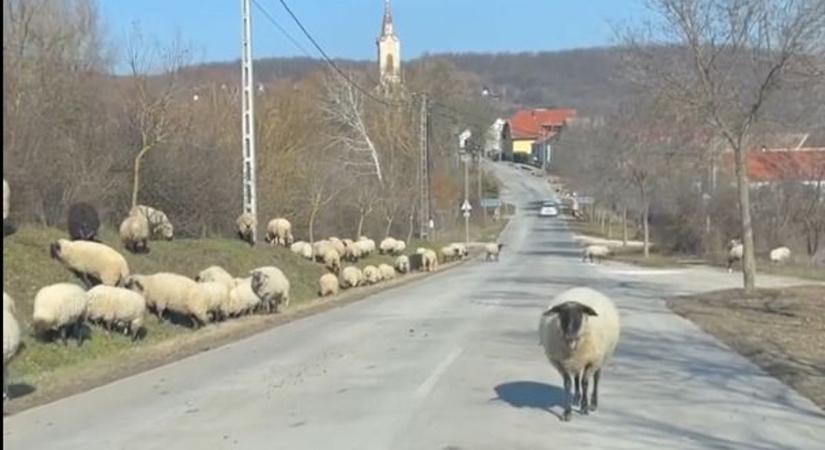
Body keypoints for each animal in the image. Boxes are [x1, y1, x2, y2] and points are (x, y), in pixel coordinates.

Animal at [540, 288, 616, 422]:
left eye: (579, 314)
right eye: (562, 314)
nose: (570, 336)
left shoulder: (592, 361)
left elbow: (585, 383)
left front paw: (584, 408)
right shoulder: (560, 363)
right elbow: (568, 384)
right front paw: (567, 412)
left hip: (602, 357)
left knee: (596, 378)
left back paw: (593, 403)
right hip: (578, 362)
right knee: (576, 376)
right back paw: (576, 397)